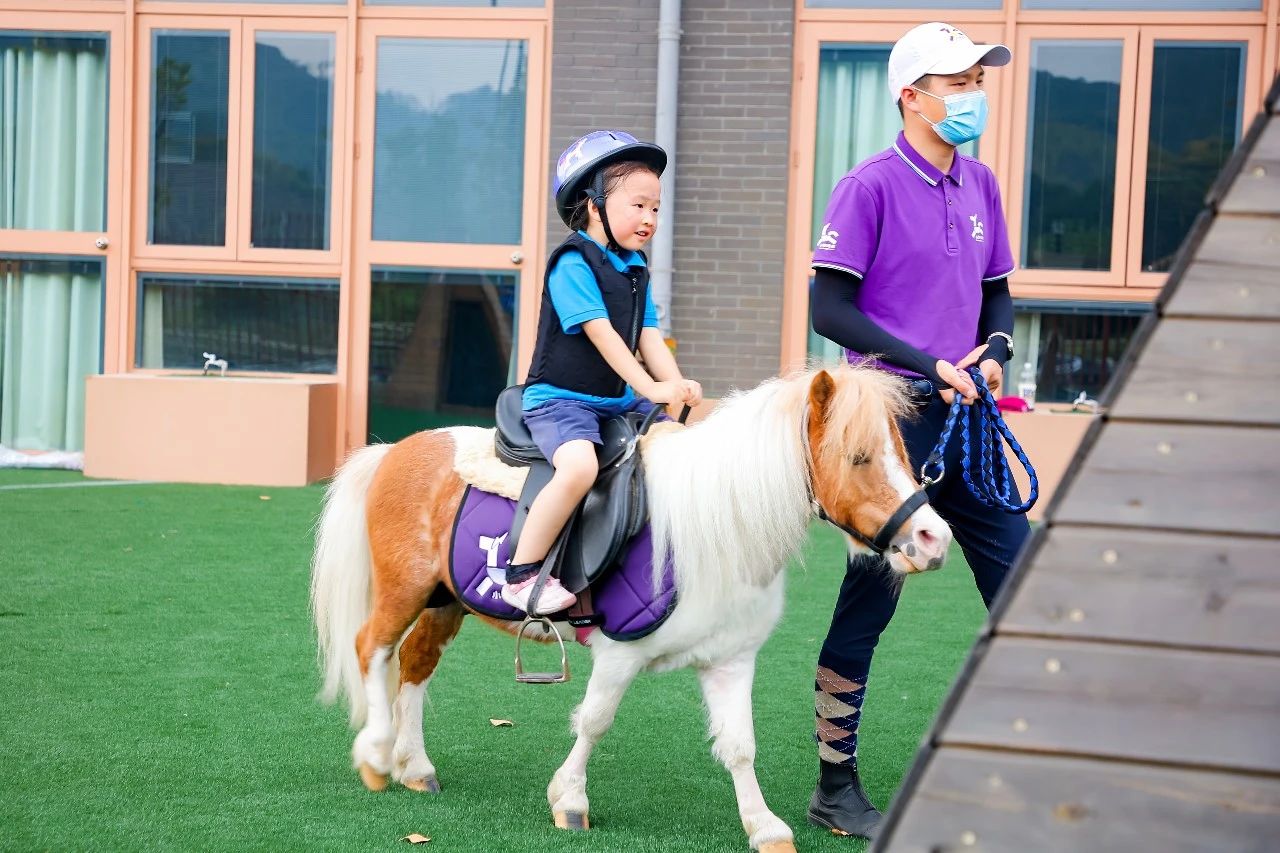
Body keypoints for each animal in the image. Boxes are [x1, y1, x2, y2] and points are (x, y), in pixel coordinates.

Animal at [310, 365, 952, 851]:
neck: (714, 526)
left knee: (415, 663)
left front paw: (764, 827)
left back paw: (414, 766)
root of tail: (395, 449)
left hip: (447, 601)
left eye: (901, 451)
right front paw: (570, 801)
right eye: (859, 457)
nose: (933, 539)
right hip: (404, 591)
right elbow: (594, 721)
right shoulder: (619, 653)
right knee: (373, 649)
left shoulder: (731, 661)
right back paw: (376, 756)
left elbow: (740, 745)